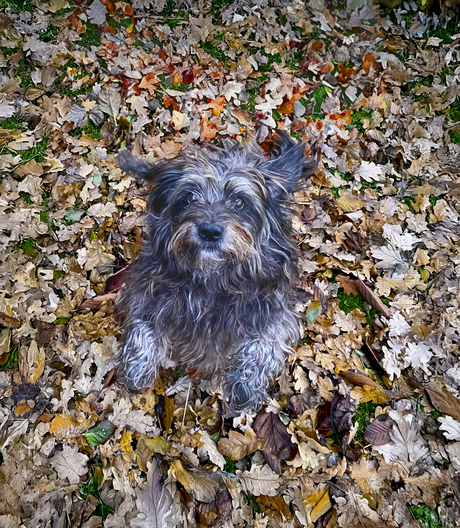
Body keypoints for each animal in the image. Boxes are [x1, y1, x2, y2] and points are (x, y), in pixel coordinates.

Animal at [113, 133, 318, 412]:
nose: (209, 231)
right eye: (190, 197)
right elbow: (141, 327)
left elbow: (265, 345)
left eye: (239, 201)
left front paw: (244, 386)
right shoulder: (146, 289)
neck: (212, 278)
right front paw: (138, 368)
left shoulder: (275, 312)